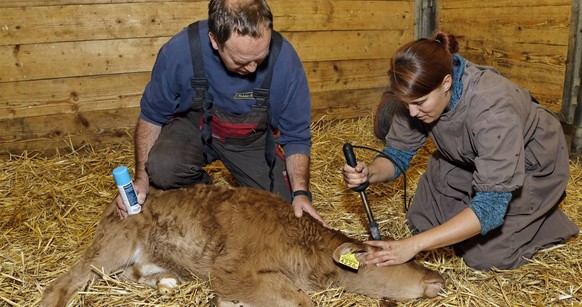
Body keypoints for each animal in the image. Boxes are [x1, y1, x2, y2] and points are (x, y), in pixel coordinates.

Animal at [41, 184, 444, 306]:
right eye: (386, 255)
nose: (438, 279)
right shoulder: (232, 270)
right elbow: (301, 301)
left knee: (135, 274)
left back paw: (165, 282)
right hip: (113, 245)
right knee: (63, 282)